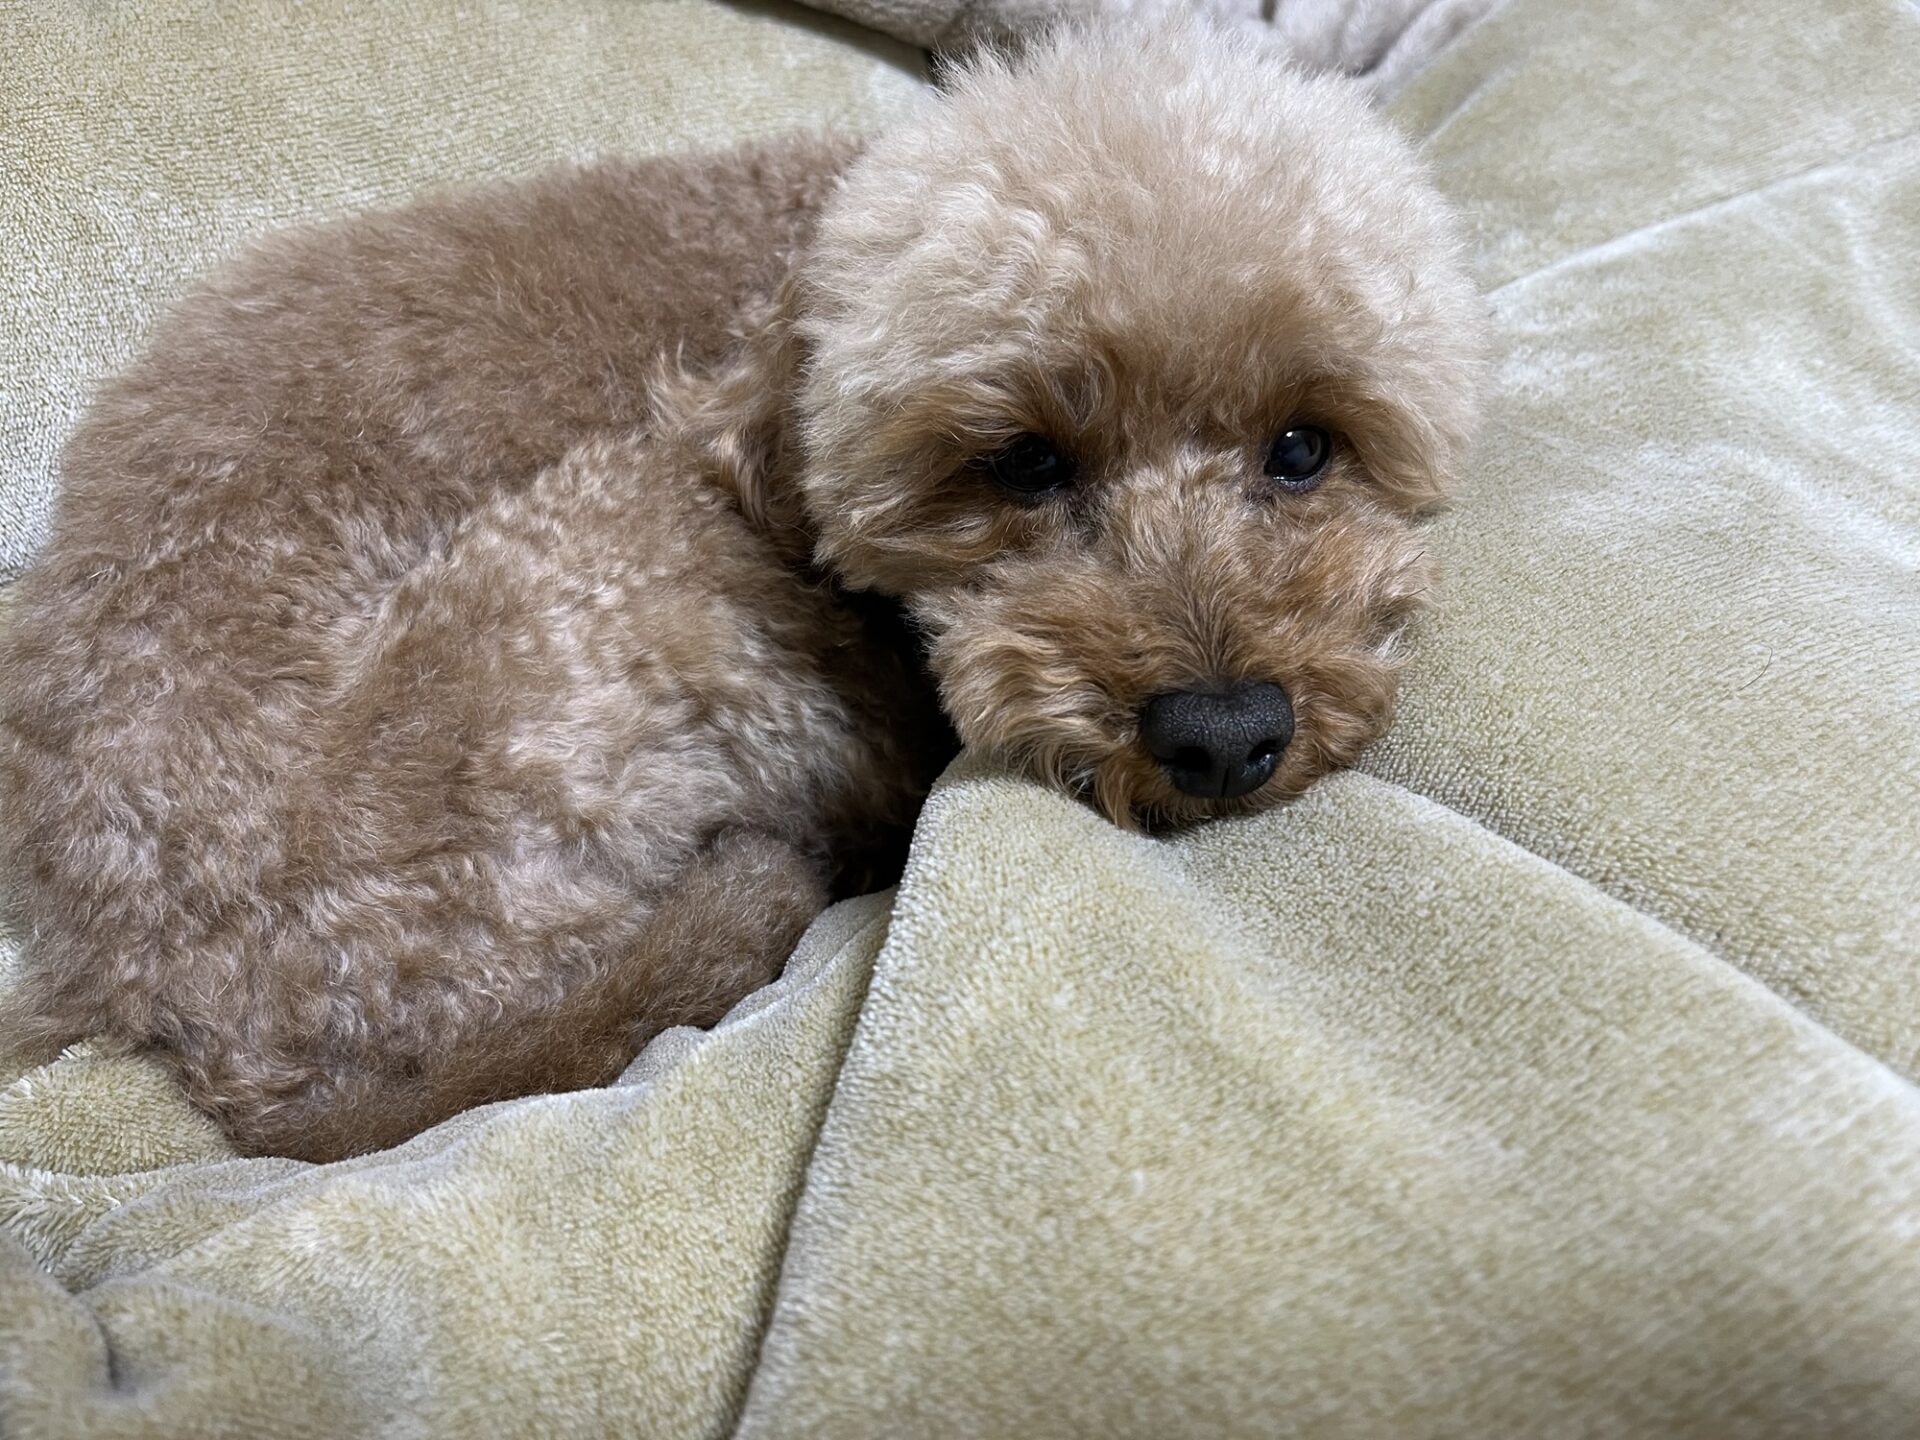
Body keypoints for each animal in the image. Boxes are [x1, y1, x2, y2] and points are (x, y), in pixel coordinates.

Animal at [0, 20, 1483, 1160]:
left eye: (1303, 446)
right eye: (1020, 461)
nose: (1221, 735)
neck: (787, 294)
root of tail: (170, 985)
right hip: (634, 577)